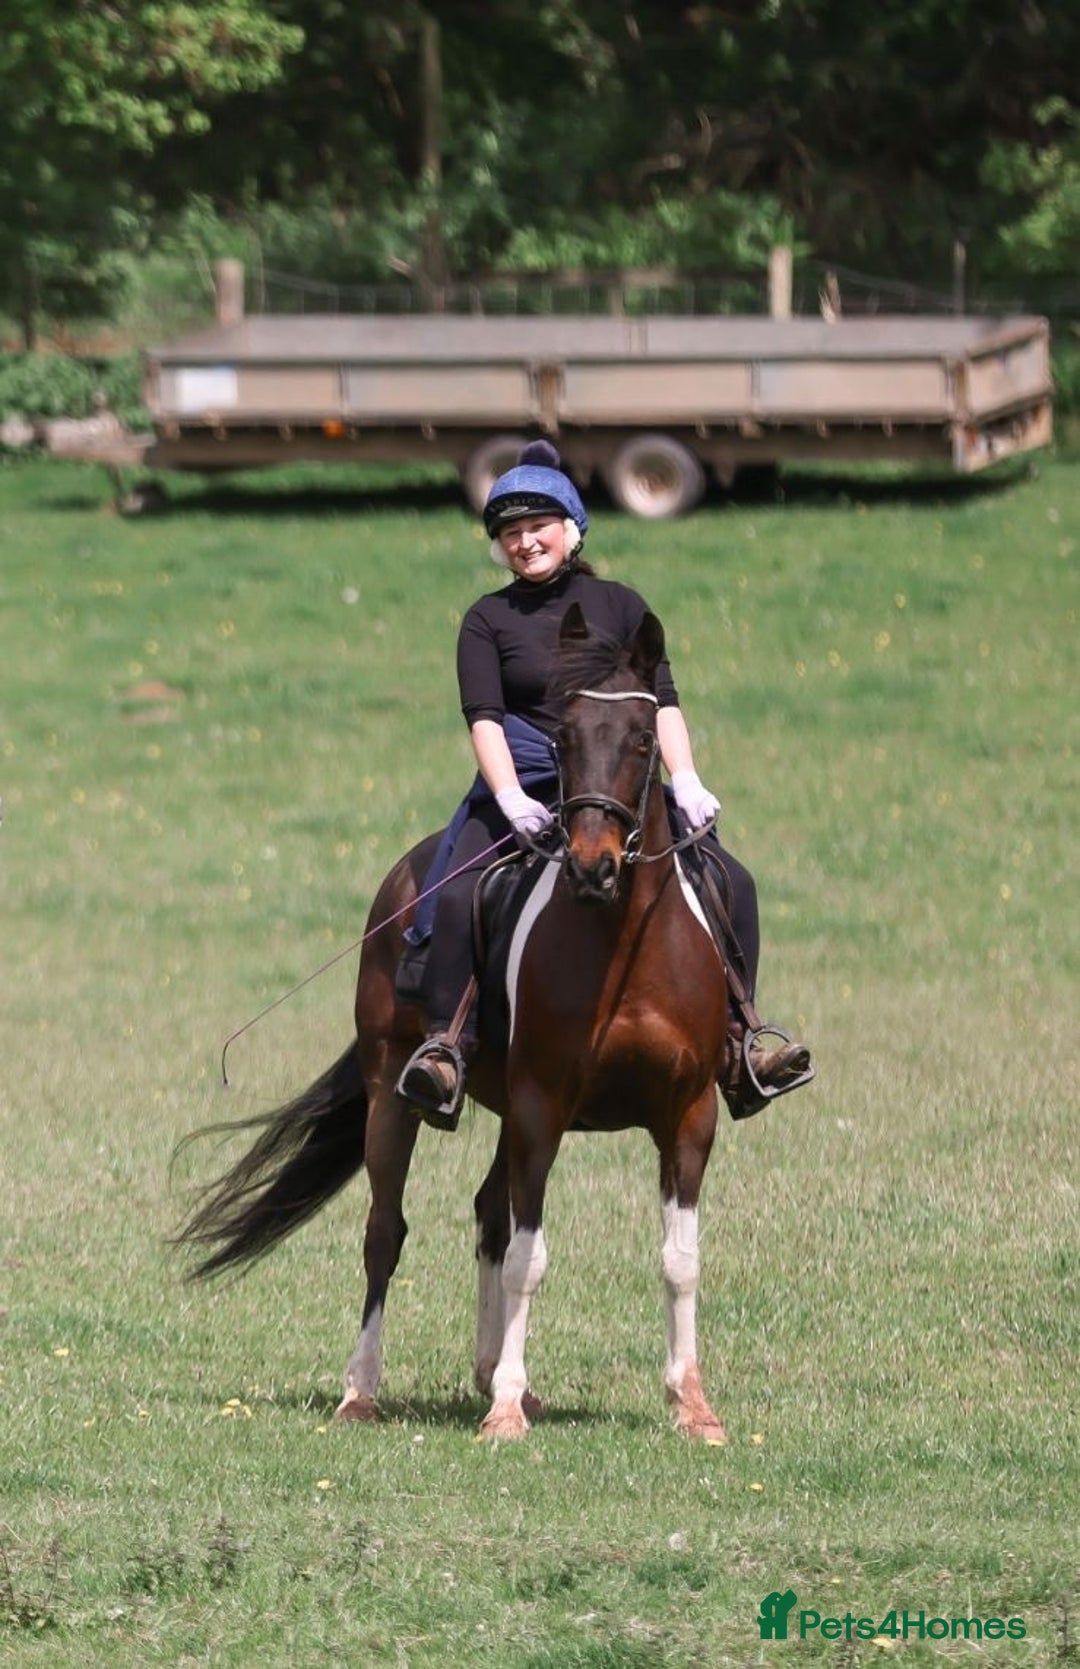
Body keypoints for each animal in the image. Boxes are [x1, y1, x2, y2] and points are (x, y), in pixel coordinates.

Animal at [175, 602, 730, 1442]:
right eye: (564, 738)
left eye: (643, 738)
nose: (592, 866)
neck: (624, 945)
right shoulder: (541, 1106)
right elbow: (529, 1258)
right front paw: (503, 1411)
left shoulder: (688, 1114)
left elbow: (679, 1258)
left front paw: (691, 1405)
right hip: (395, 1092)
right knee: (386, 1231)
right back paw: (364, 1390)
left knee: (488, 1215)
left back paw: (494, 1372)